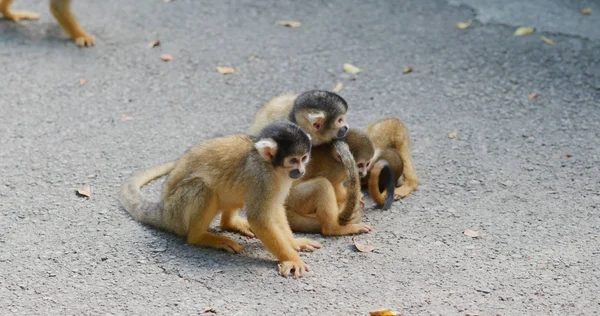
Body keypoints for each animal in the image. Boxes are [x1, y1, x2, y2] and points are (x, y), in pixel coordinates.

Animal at [119, 122, 322, 278]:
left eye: (304, 158)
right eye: (293, 160)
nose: (301, 171)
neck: (271, 166)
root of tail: (163, 210)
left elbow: (275, 208)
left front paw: (293, 242)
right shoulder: (262, 177)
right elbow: (259, 219)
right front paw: (292, 259)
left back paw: (230, 223)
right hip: (176, 211)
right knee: (204, 187)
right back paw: (201, 237)